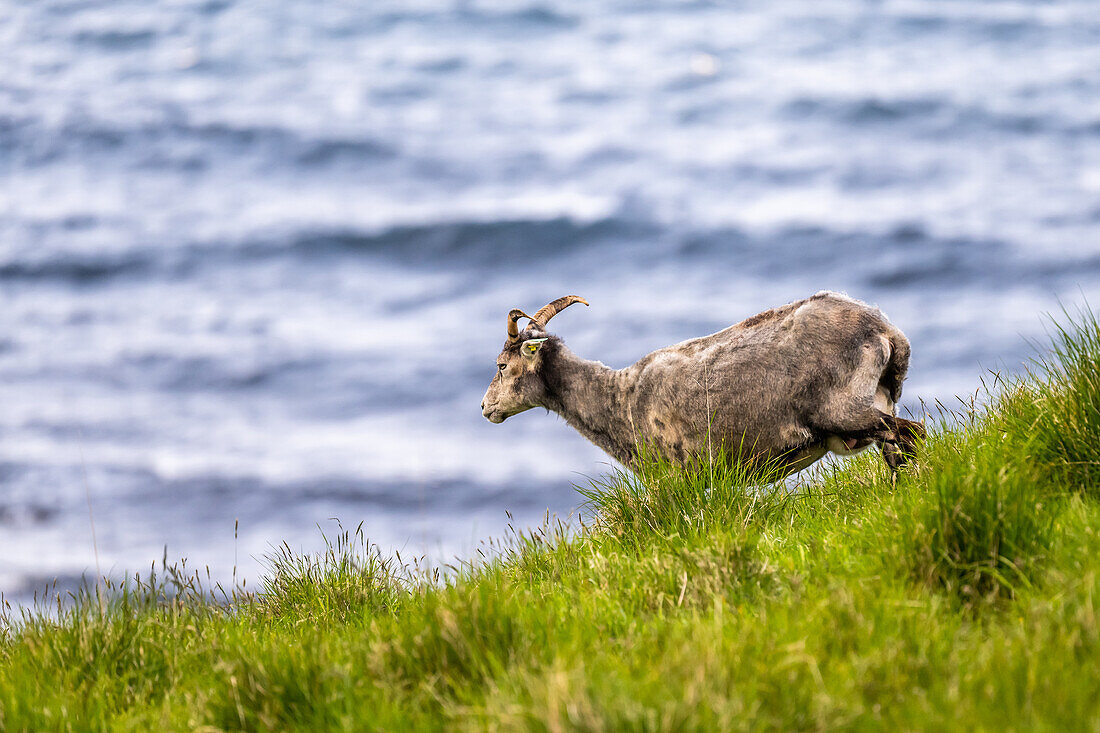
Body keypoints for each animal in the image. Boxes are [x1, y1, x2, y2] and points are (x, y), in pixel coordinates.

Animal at [479, 290, 919, 473]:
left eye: (501, 365)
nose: (485, 407)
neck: (618, 399)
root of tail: (885, 331)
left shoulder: (676, 474)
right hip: (880, 398)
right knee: (898, 445)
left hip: (845, 408)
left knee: (908, 433)